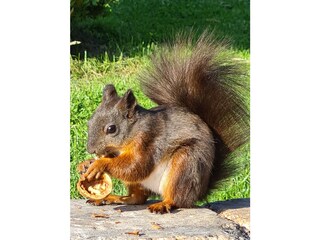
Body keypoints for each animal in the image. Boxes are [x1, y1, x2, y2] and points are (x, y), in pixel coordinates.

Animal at [79, 32, 250, 214]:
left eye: (111, 129)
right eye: (89, 122)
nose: (91, 150)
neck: (133, 131)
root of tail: (200, 191)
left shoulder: (148, 139)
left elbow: (136, 166)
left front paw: (100, 164)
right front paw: (86, 163)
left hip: (185, 164)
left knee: (177, 199)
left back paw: (163, 204)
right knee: (137, 198)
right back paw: (112, 198)